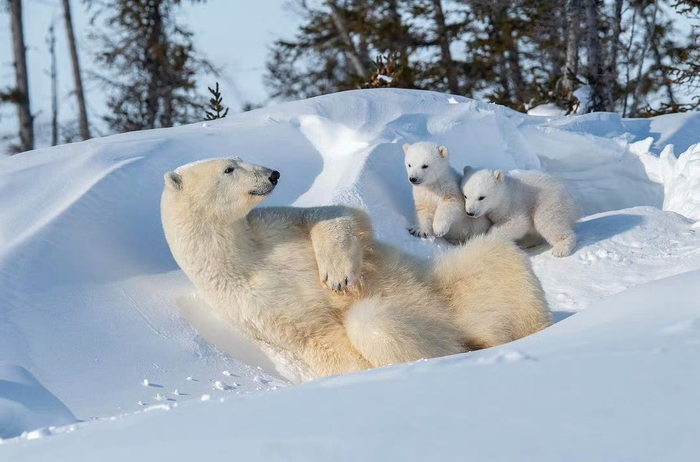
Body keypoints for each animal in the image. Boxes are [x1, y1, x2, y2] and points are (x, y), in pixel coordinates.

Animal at [161, 157, 552, 382]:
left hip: (452, 282)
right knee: (374, 322)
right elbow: (316, 338)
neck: (238, 256)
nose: (272, 174)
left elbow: (337, 215)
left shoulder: (269, 227)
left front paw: (337, 275)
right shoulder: (247, 304)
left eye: (239, 159)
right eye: (228, 168)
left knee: (499, 261)